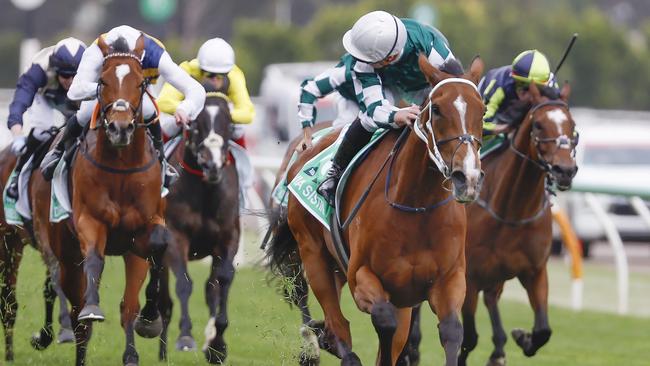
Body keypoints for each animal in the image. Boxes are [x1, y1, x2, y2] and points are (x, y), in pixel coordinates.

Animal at [30, 33, 168, 364]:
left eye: (140, 84)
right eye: (102, 81)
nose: (120, 128)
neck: (121, 168)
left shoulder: (141, 234)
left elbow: (156, 250)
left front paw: (148, 321)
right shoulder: (89, 222)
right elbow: (94, 257)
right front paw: (93, 308)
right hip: (62, 249)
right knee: (74, 308)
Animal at [157, 91, 240, 364]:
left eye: (228, 126)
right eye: (195, 125)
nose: (213, 165)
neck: (206, 191)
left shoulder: (228, 238)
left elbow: (222, 280)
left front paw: (217, 343)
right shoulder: (175, 236)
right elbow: (184, 283)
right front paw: (185, 336)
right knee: (162, 298)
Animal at [266, 55, 484, 366]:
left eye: (483, 110)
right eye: (438, 109)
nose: (467, 177)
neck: (417, 209)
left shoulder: (447, 281)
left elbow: (451, 331)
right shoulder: (362, 277)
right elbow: (384, 321)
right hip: (313, 255)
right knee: (337, 325)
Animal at [456, 83, 576, 366]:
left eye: (573, 126)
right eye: (539, 125)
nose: (565, 170)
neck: (511, 212)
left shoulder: (535, 271)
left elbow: (543, 330)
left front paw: (523, 337)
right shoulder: (469, 277)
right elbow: (468, 338)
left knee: (491, 299)